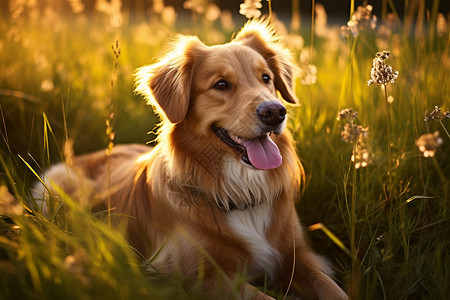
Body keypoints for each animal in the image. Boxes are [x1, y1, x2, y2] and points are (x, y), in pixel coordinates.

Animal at [34, 19, 348, 298]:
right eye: (221, 84)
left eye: (266, 78)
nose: (275, 112)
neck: (241, 191)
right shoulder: (186, 276)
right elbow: (260, 296)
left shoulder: (298, 256)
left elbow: (333, 289)